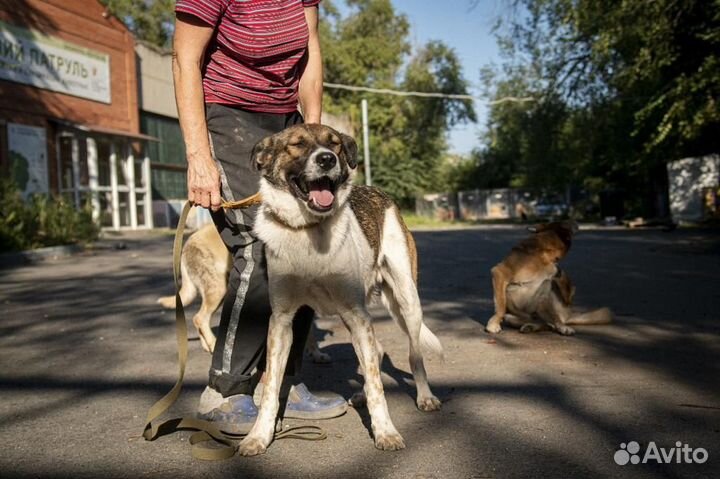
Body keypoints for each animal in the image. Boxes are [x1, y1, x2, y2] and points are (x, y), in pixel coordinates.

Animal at [158, 225, 332, 364]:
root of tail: (187, 244)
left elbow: (309, 332)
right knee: (199, 318)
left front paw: (316, 354)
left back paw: (207, 346)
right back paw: (213, 344)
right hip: (218, 289)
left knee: (198, 319)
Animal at [239, 124, 442, 458]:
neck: (308, 230)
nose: (326, 159)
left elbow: (378, 386)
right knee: (377, 352)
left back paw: (424, 396)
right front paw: (258, 435)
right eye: (297, 144)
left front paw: (385, 432)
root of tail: (377, 191)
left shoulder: (357, 315)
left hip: (406, 300)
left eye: (334, 144)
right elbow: (270, 389)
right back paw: (361, 395)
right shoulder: (282, 320)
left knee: (413, 355)